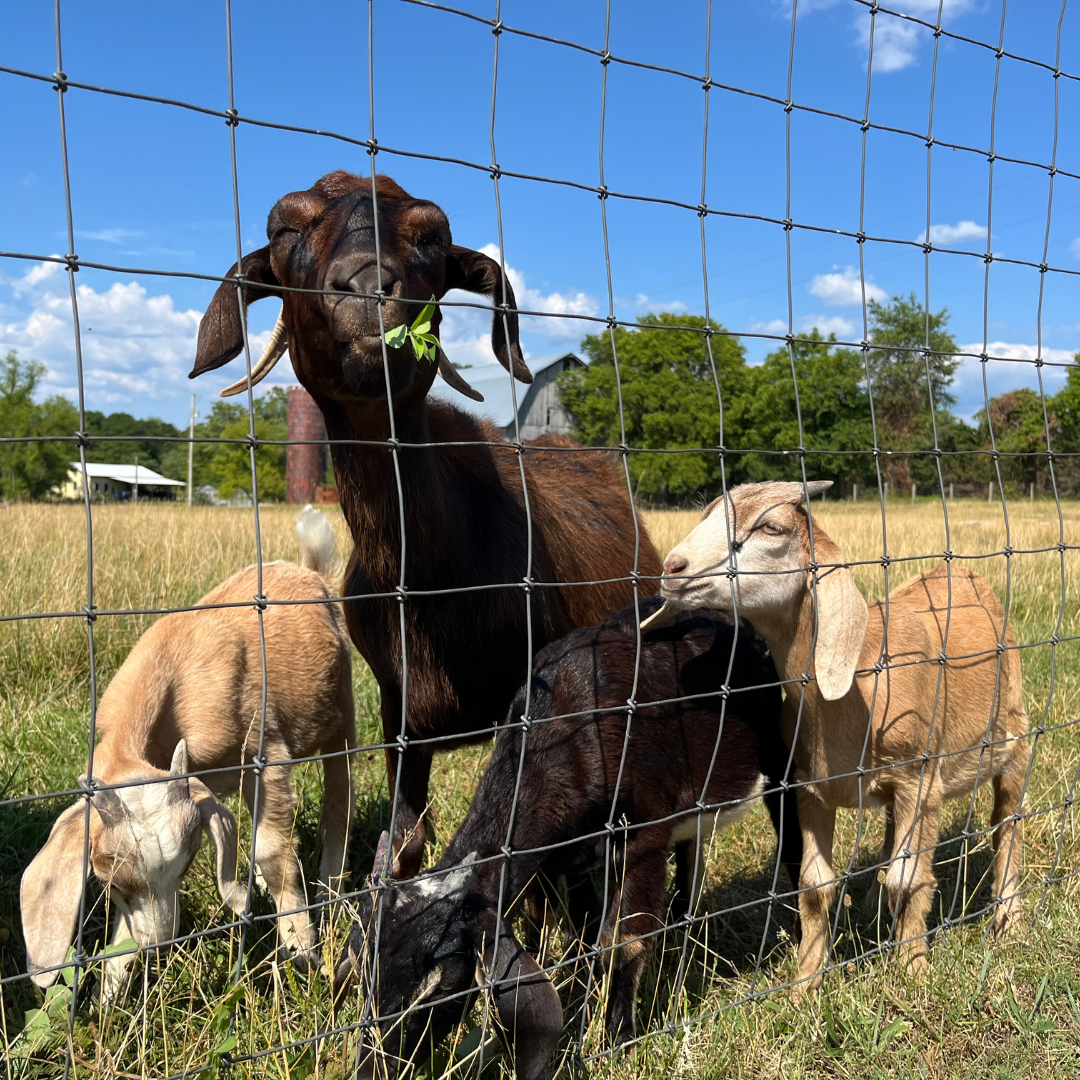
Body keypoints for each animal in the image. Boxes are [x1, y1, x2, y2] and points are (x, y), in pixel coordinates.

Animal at [19, 509, 354, 997]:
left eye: (187, 865)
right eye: (111, 883)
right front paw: (110, 995)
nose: (157, 945)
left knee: (339, 801)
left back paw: (331, 889)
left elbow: (273, 854)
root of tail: (309, 569)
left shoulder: (265, 751)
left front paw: (302, 952)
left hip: (343, 712)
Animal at [187, 170, 656, 876]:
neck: (432, 577)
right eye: (286, 231)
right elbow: (404, 841)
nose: (367, 286)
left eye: (431, 237)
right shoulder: (397, 712)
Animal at [643, 481, 1032, 989]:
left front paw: (913, 969)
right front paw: (806, 982)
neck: (857, 684)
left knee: (1007, 824)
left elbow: (911, 879)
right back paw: (876, 904)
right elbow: (815, 887)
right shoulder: (811, 788)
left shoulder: (920, 780)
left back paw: (1007, 918)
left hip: (1015, 738)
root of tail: (963, 572)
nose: (673, 568)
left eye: (772, 527)